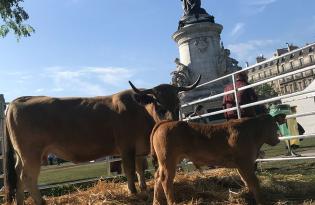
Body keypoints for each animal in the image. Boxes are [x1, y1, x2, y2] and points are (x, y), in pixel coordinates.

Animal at [3, 76, 201, 204]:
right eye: (158, 104)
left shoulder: (140, 149)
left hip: (22, 155)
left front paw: (145, 189)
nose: (172, 124)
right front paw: (134, 192)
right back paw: (41, 201)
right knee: (27, 177)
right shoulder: (126, 147)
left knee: (18, 176)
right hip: (31, 153)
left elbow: (140, 169)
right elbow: (130, 170)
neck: (141, 112)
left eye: (177, 103)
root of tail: (16, 101)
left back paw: (20, 202)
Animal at [151, 114, 282, 204]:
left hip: (166, 161)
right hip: (168, 160)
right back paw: (172, 202)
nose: (278, 140)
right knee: (166, 179)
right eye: (274, 126)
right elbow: (254, 182)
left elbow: (246, 181)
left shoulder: (241, 165)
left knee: (157, 176)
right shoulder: (245, 162)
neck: (252, 132)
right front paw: (261, 201)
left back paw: (156, 201)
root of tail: (166, 122)